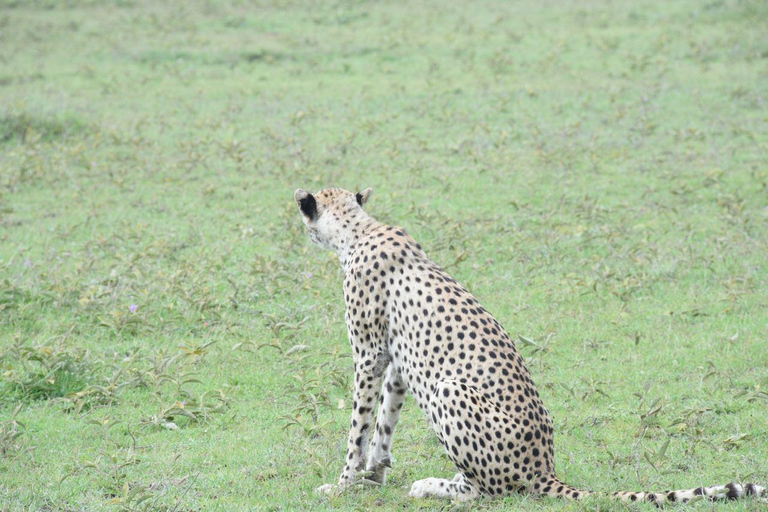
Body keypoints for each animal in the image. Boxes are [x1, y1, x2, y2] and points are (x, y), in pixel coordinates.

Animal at [292, 187, 760, 504]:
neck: (359, 230)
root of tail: (545, 467)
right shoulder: (395, 361)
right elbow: (385, 423)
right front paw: (374, 476)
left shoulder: (369, 356)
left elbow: (359, 426)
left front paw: (343, 484)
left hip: (448, 389)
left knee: (488, 491)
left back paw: (435, 486)